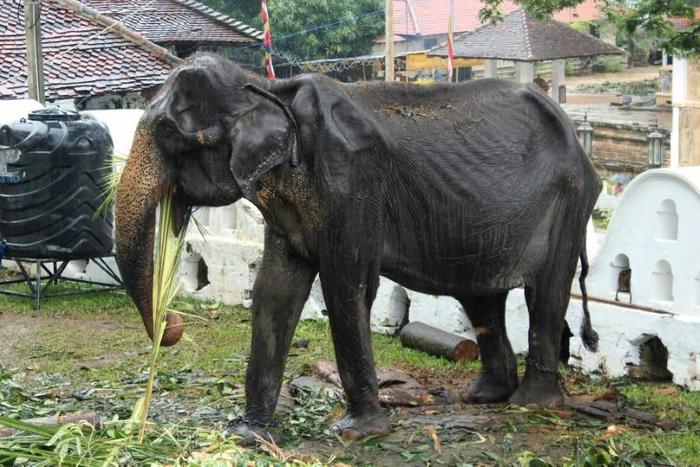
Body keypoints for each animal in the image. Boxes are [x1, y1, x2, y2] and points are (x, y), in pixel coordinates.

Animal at [115, 53, 601, 442]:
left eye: (168, 132)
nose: (174, 322)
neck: (267, 90)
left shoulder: (351, 186)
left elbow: (347, 288)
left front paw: (356, 431)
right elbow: (274, 292)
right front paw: (248, 433)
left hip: (569, 202)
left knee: (545, 294)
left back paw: (532, 404)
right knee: (481, 298)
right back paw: (485, 397)